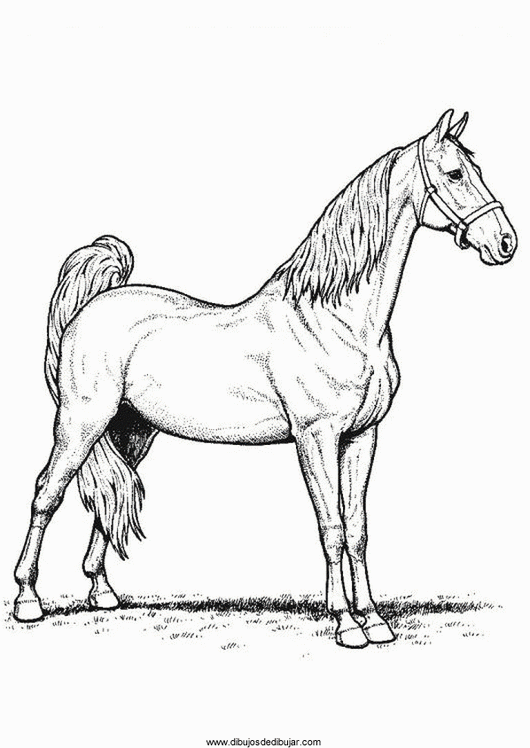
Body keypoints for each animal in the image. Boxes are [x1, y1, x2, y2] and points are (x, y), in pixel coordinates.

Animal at [14, 110, 517, 647]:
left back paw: (103, 593)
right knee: (47, 493)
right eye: (455, 174)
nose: (506, 242)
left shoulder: (362, 437)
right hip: (80, 423)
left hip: (131, 431)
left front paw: (375, 620)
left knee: (110, 492)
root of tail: (92, 306)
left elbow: (357, 528)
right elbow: (331, 527)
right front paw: (346, 623)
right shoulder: (316, 437)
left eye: (475, 170)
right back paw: (28, 600)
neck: (337, 320)